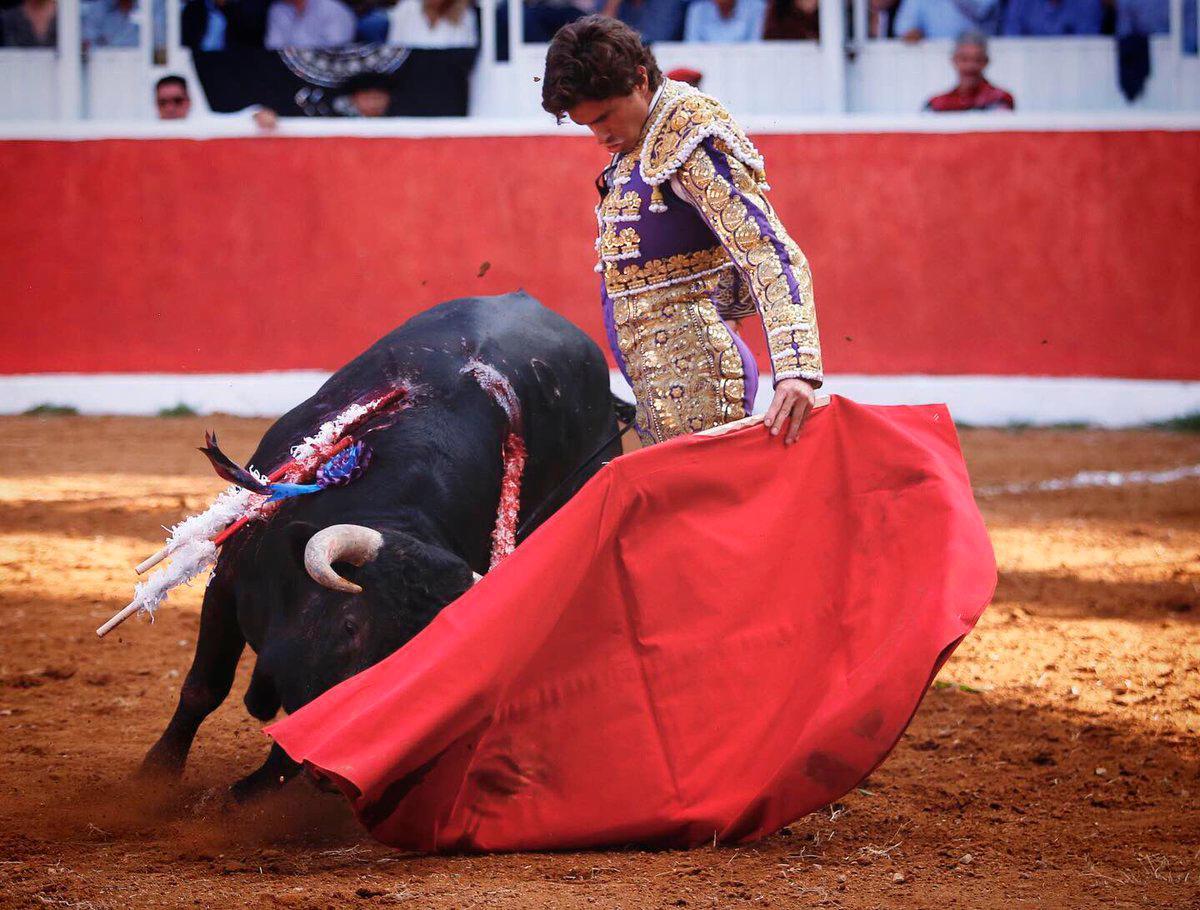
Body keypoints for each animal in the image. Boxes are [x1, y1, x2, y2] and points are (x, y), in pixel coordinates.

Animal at [142, 295, 619, 801]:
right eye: (350, 625)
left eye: (415, 660)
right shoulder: (227, 582)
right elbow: (205, 687)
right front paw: (155, 775)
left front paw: (250, 794)